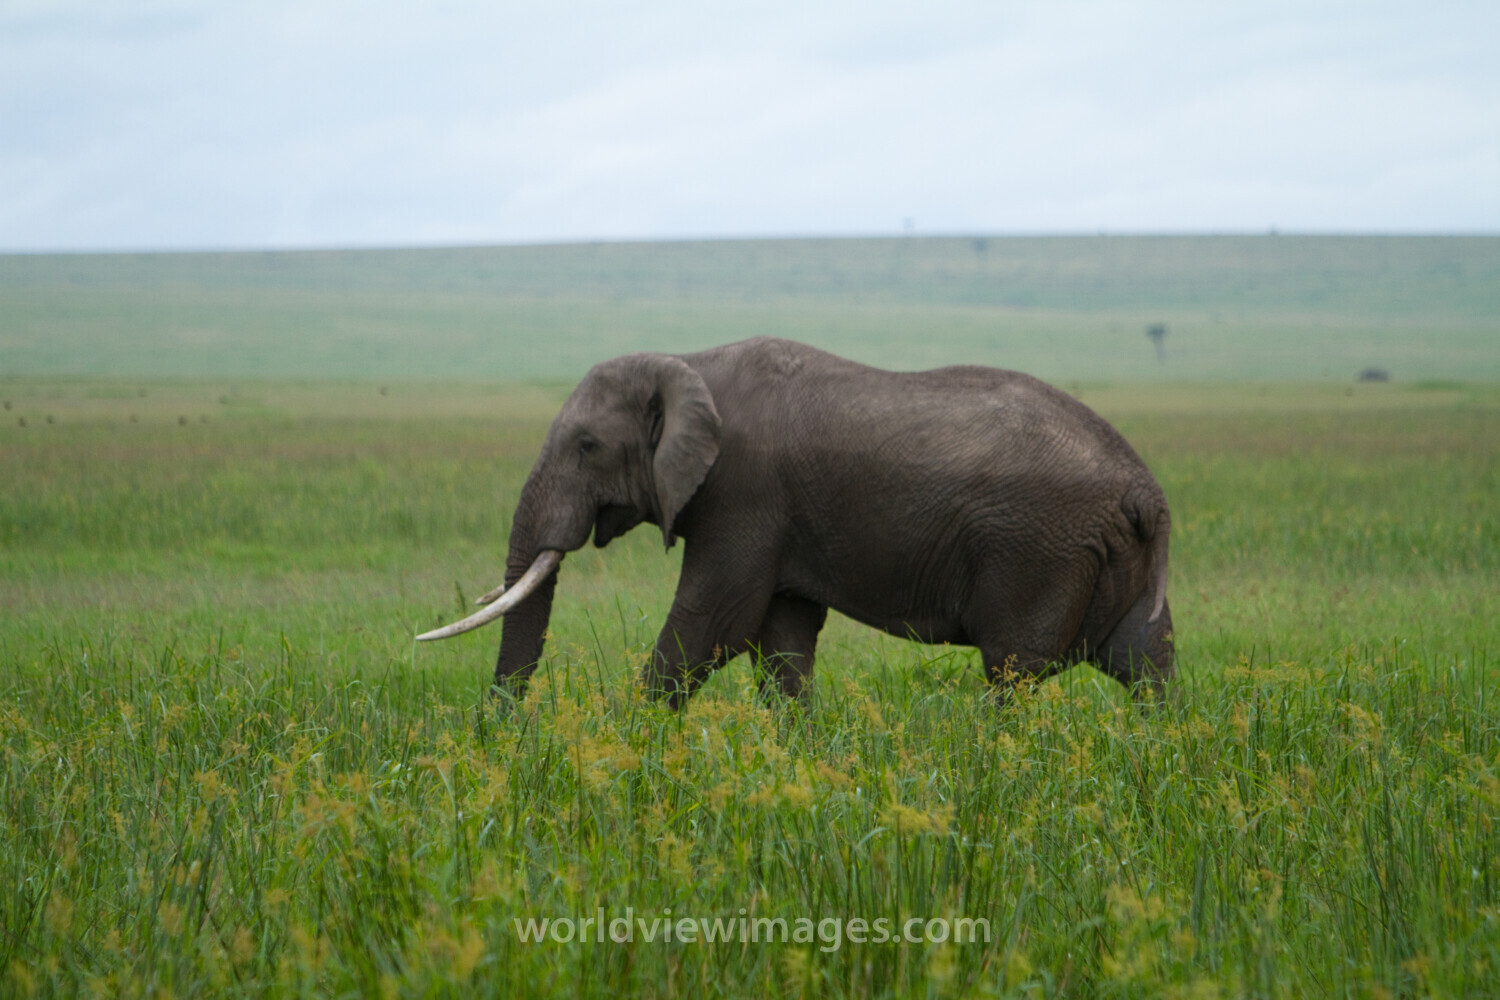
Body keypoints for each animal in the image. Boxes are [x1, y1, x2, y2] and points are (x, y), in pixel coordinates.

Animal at [419, 337, 1174, 706]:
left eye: (585, 446)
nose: (501, 732)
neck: (688, 364)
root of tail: (1146, 490)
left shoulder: (744, 491)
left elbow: (712, 623)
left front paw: (622, 743)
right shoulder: (776, 517)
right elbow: (781, 639)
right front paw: (803, 756)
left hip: (1037, 552)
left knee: (1013, 671)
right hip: (1105, 557)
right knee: (1144, 661)